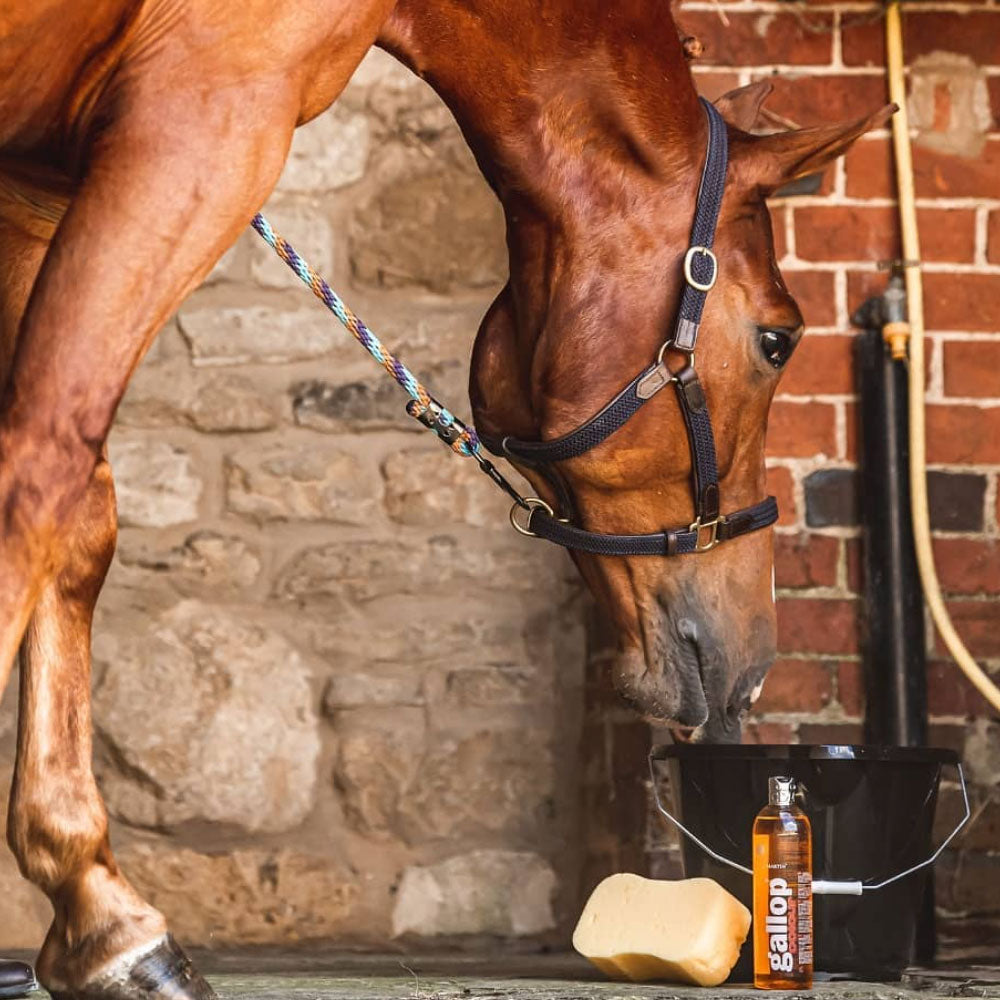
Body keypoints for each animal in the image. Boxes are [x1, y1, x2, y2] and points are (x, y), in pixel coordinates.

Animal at [0, 0, 892, 996]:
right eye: (779, 339)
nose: (755, 663)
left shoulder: (35, 193)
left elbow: (77, 518)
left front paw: (97, 912)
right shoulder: (197, 127)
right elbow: (38, 479)